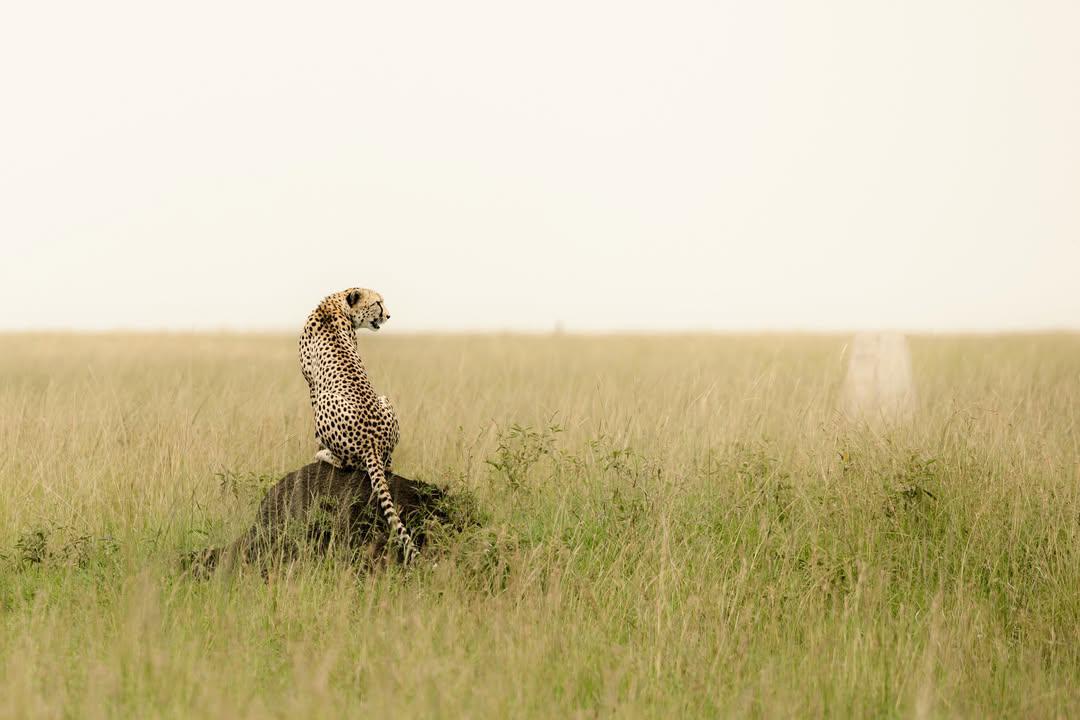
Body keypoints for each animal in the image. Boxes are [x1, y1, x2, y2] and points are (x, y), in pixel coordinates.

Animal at [298, 287, 417, 564]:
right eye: (378, 303)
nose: (388, 315)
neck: (336, 304)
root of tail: (372, 441)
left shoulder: (312, 385)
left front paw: (317, 448)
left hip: (326, 407)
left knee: (347, 463)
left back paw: (323, 454)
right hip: (385, 399)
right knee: (387, 463)